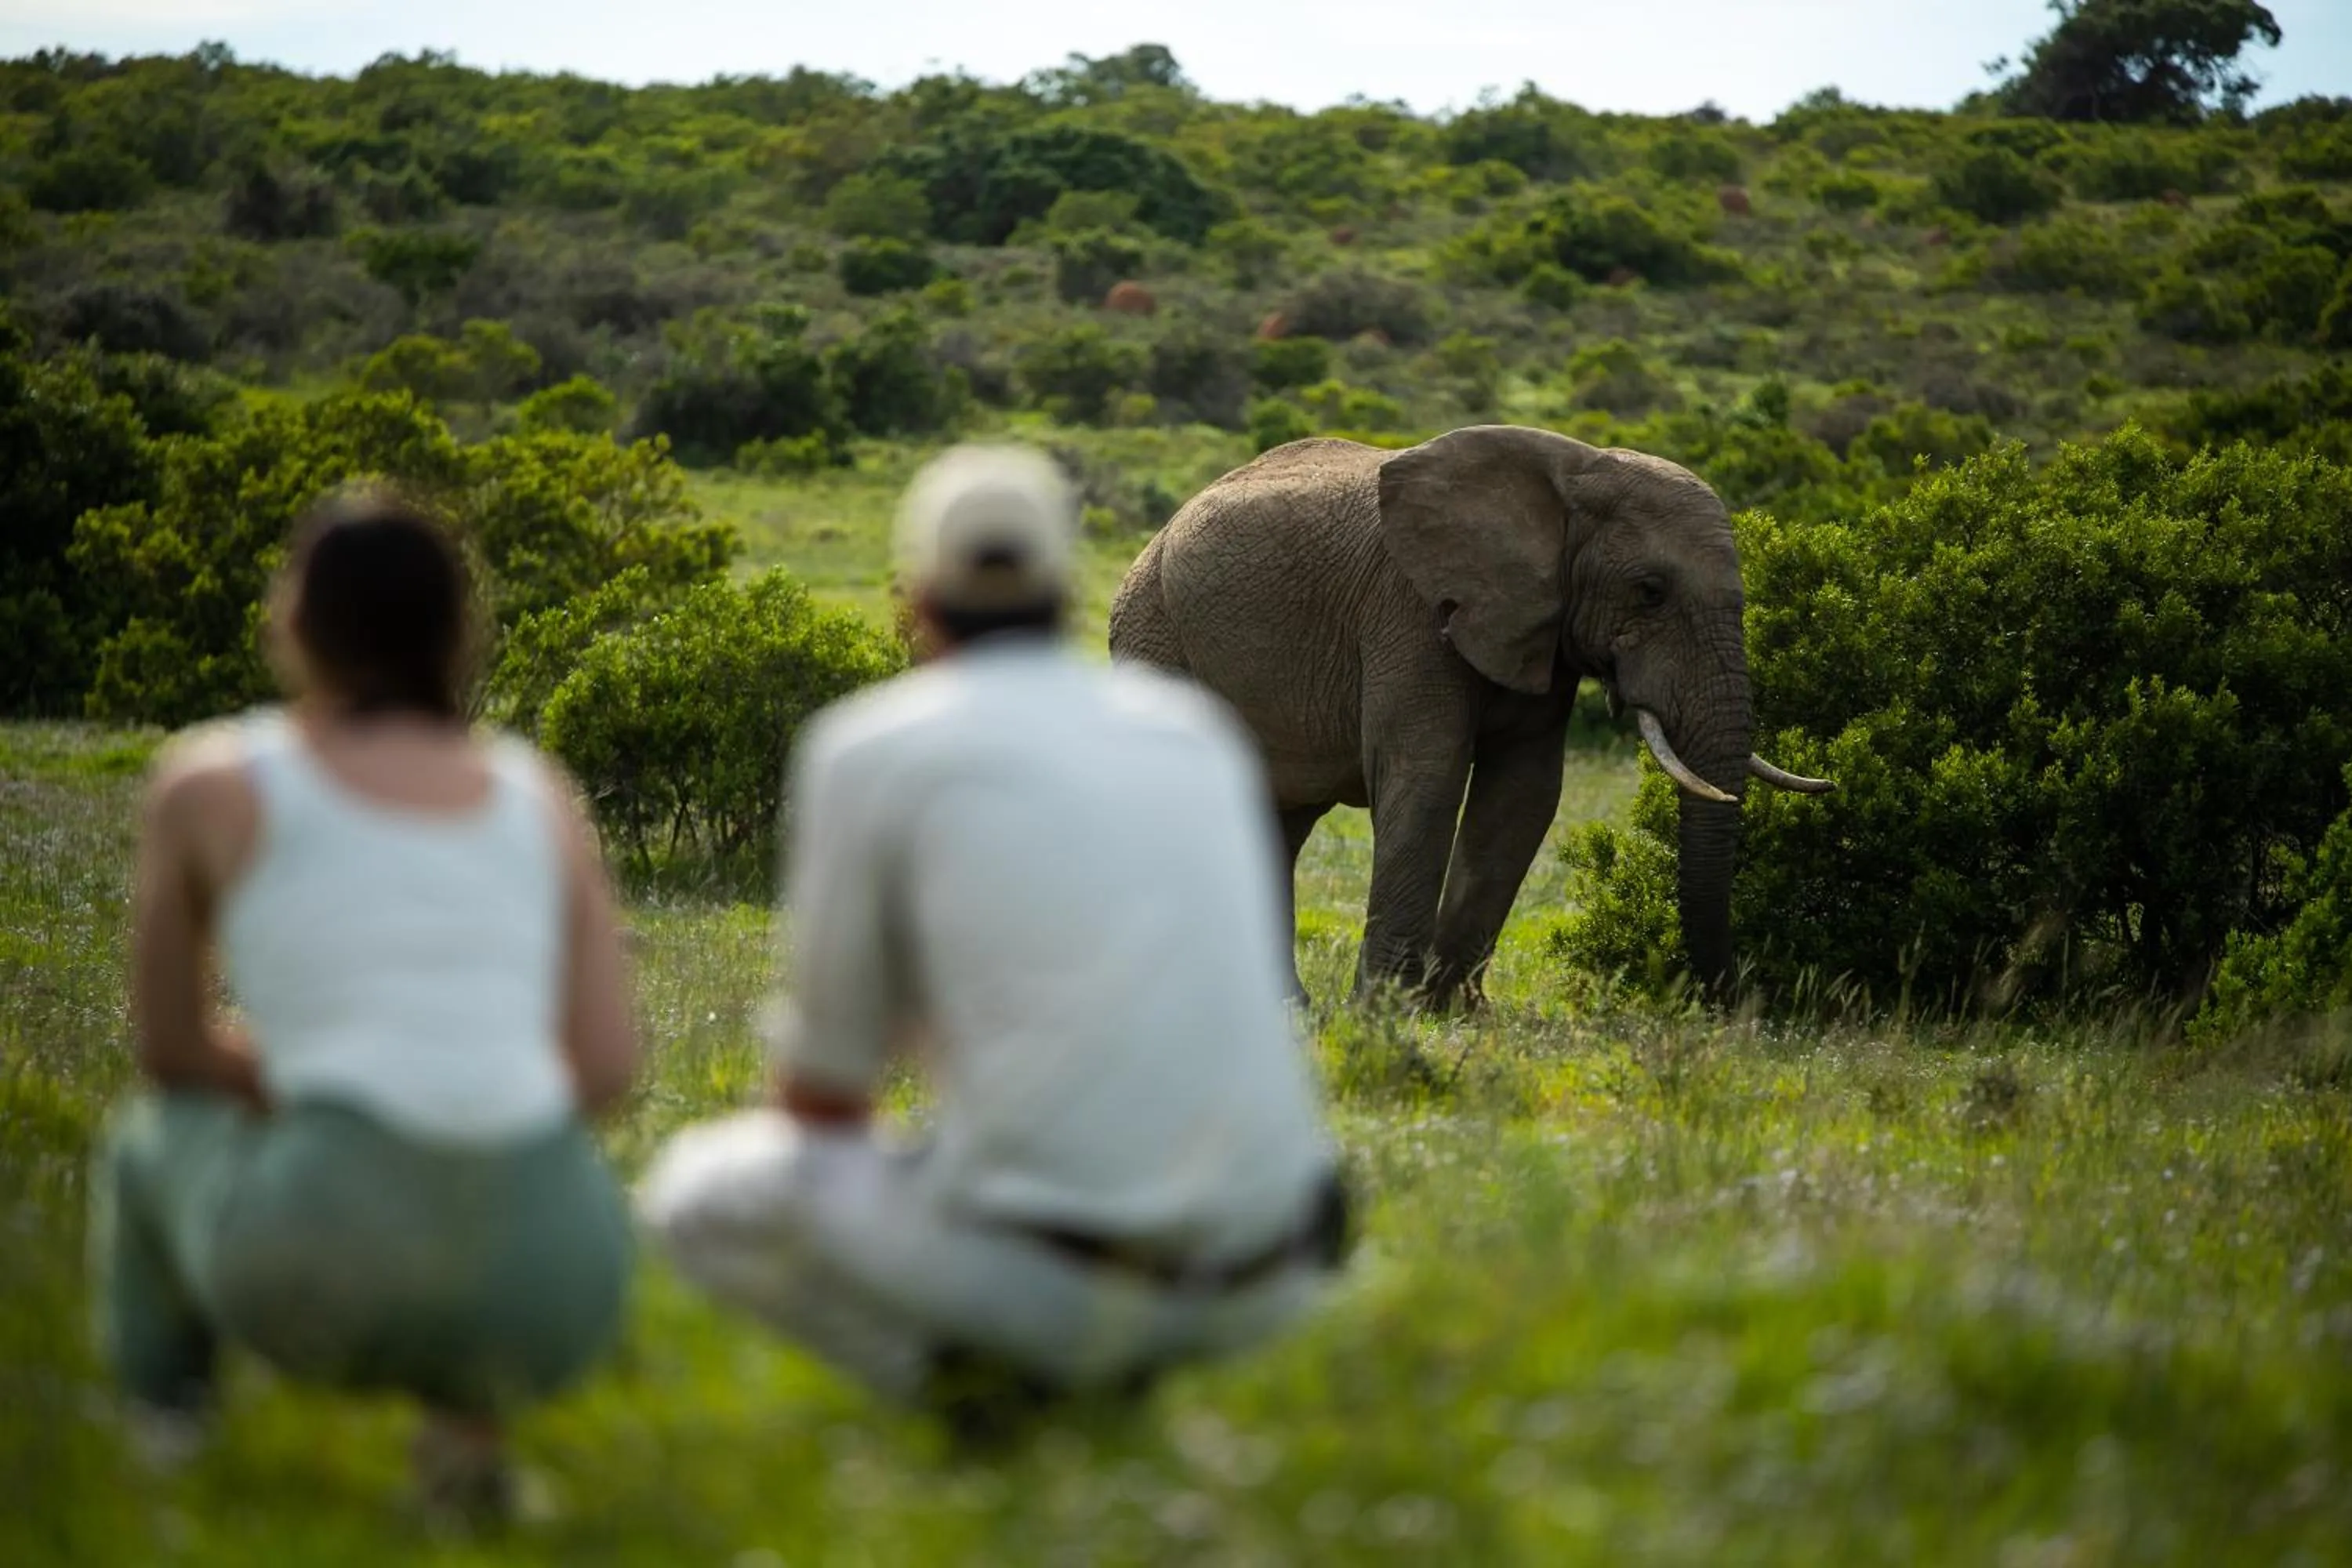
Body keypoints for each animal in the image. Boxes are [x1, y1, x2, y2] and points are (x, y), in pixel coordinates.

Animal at [1107, 424, 1830, 1007]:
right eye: (1650, 592)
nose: (1732, 1002)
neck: (1574, 471)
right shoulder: (1409, 613)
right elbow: (1425, 777)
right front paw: (1384, 1017)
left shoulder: (1541, 631)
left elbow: (1523, 794)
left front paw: (1448, 1013)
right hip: (1153, 630)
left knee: (1275, 825)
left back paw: (1286, 1010)